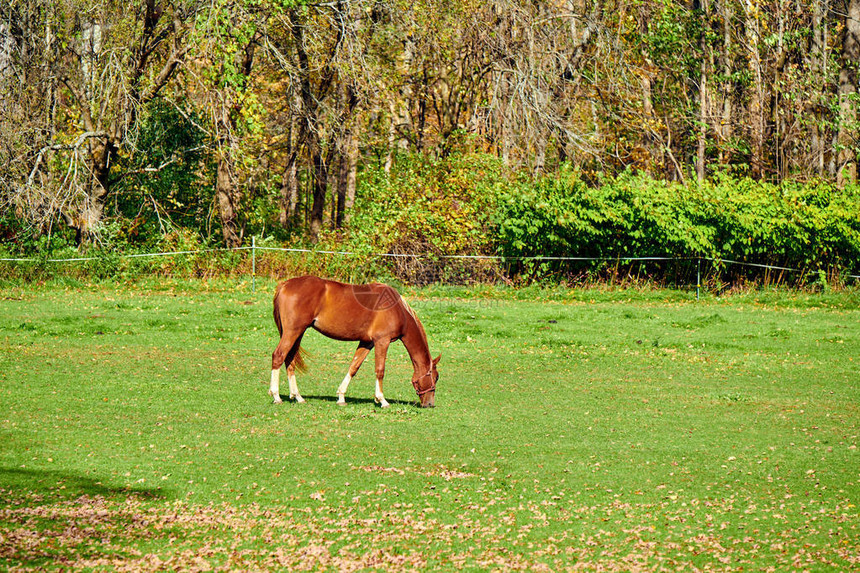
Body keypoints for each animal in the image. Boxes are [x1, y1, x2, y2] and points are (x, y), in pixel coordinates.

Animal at [270, 276, 444, 406]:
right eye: (435, 377)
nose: (430, 404)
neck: (397, 309)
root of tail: (285, 285)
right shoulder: (382, 341)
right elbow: (380, 370)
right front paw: (382, 400)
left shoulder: (367, 342)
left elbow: (354, 367)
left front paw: (341, 397)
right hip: (293, 332)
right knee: (278, 356)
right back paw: (276, 396)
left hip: (298, 333)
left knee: (290, 359)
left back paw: (297, 396)